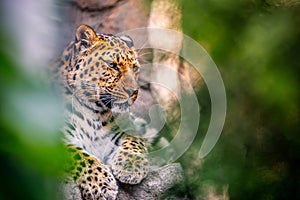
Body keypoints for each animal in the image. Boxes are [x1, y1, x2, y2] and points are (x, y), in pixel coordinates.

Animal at [54, 24, 150, 199]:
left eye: (135, 68)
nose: (133, 92)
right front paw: (101, 184)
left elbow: (135, 138)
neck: (95, 113)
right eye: (112, 65)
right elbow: (79, 155)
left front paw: (131, 166)